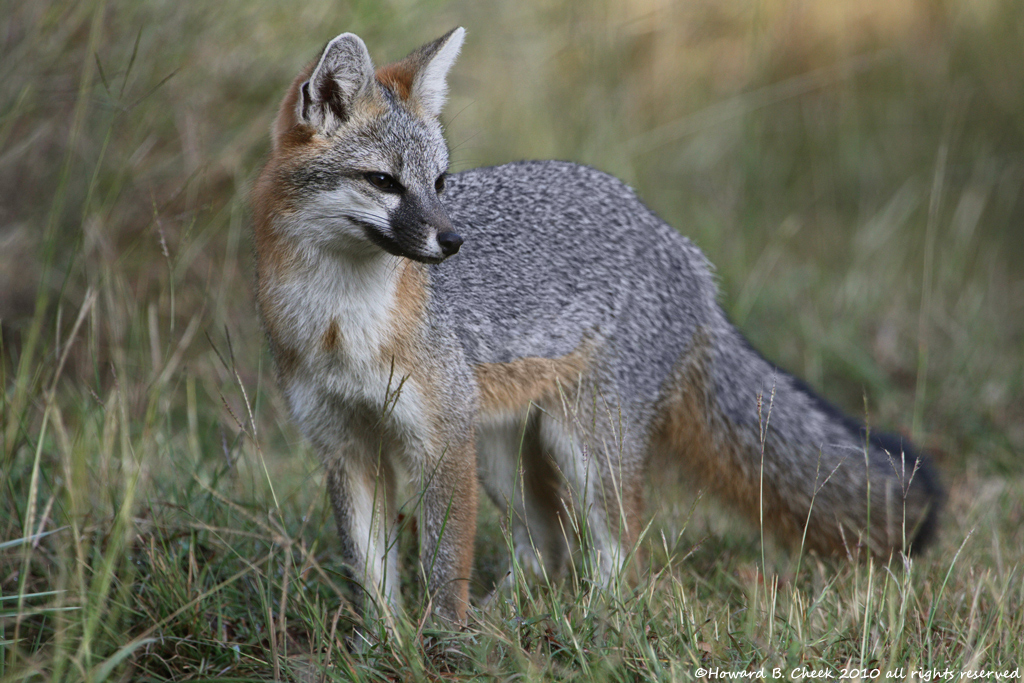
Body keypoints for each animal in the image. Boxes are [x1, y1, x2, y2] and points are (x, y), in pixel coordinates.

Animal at [251, 28, 942, 626]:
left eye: (440, 181)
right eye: (383, 182)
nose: (453, 241)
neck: (342, 326)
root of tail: (680, 247)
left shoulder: (440, 440)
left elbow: (447, 566)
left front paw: (445, 643)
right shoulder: (345, 447)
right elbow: (370, 576)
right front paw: (388, 648)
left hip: (580, 445)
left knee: (624, 553)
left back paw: (592, 622)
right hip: (502, 455)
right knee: (549, 549)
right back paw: (510, 623)